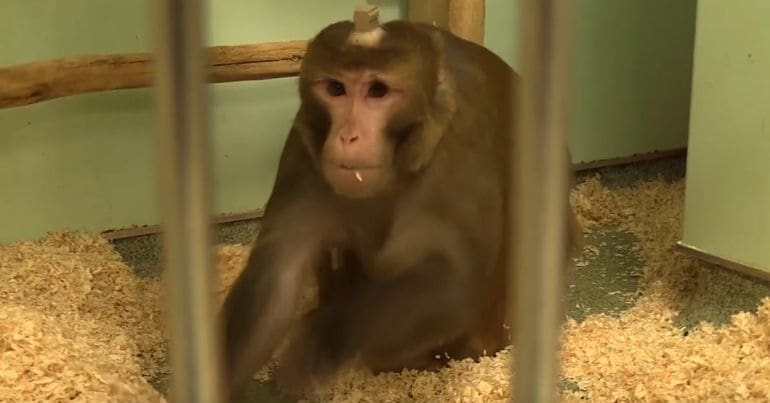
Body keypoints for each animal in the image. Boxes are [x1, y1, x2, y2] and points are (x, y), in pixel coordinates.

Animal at [219, 17, 583, 400]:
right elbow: (278, 278)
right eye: (335, 88)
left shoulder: (459, 143)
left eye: (378, 91)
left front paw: (322, 340)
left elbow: (453, 279)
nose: (348, 136)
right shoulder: (305, 150)